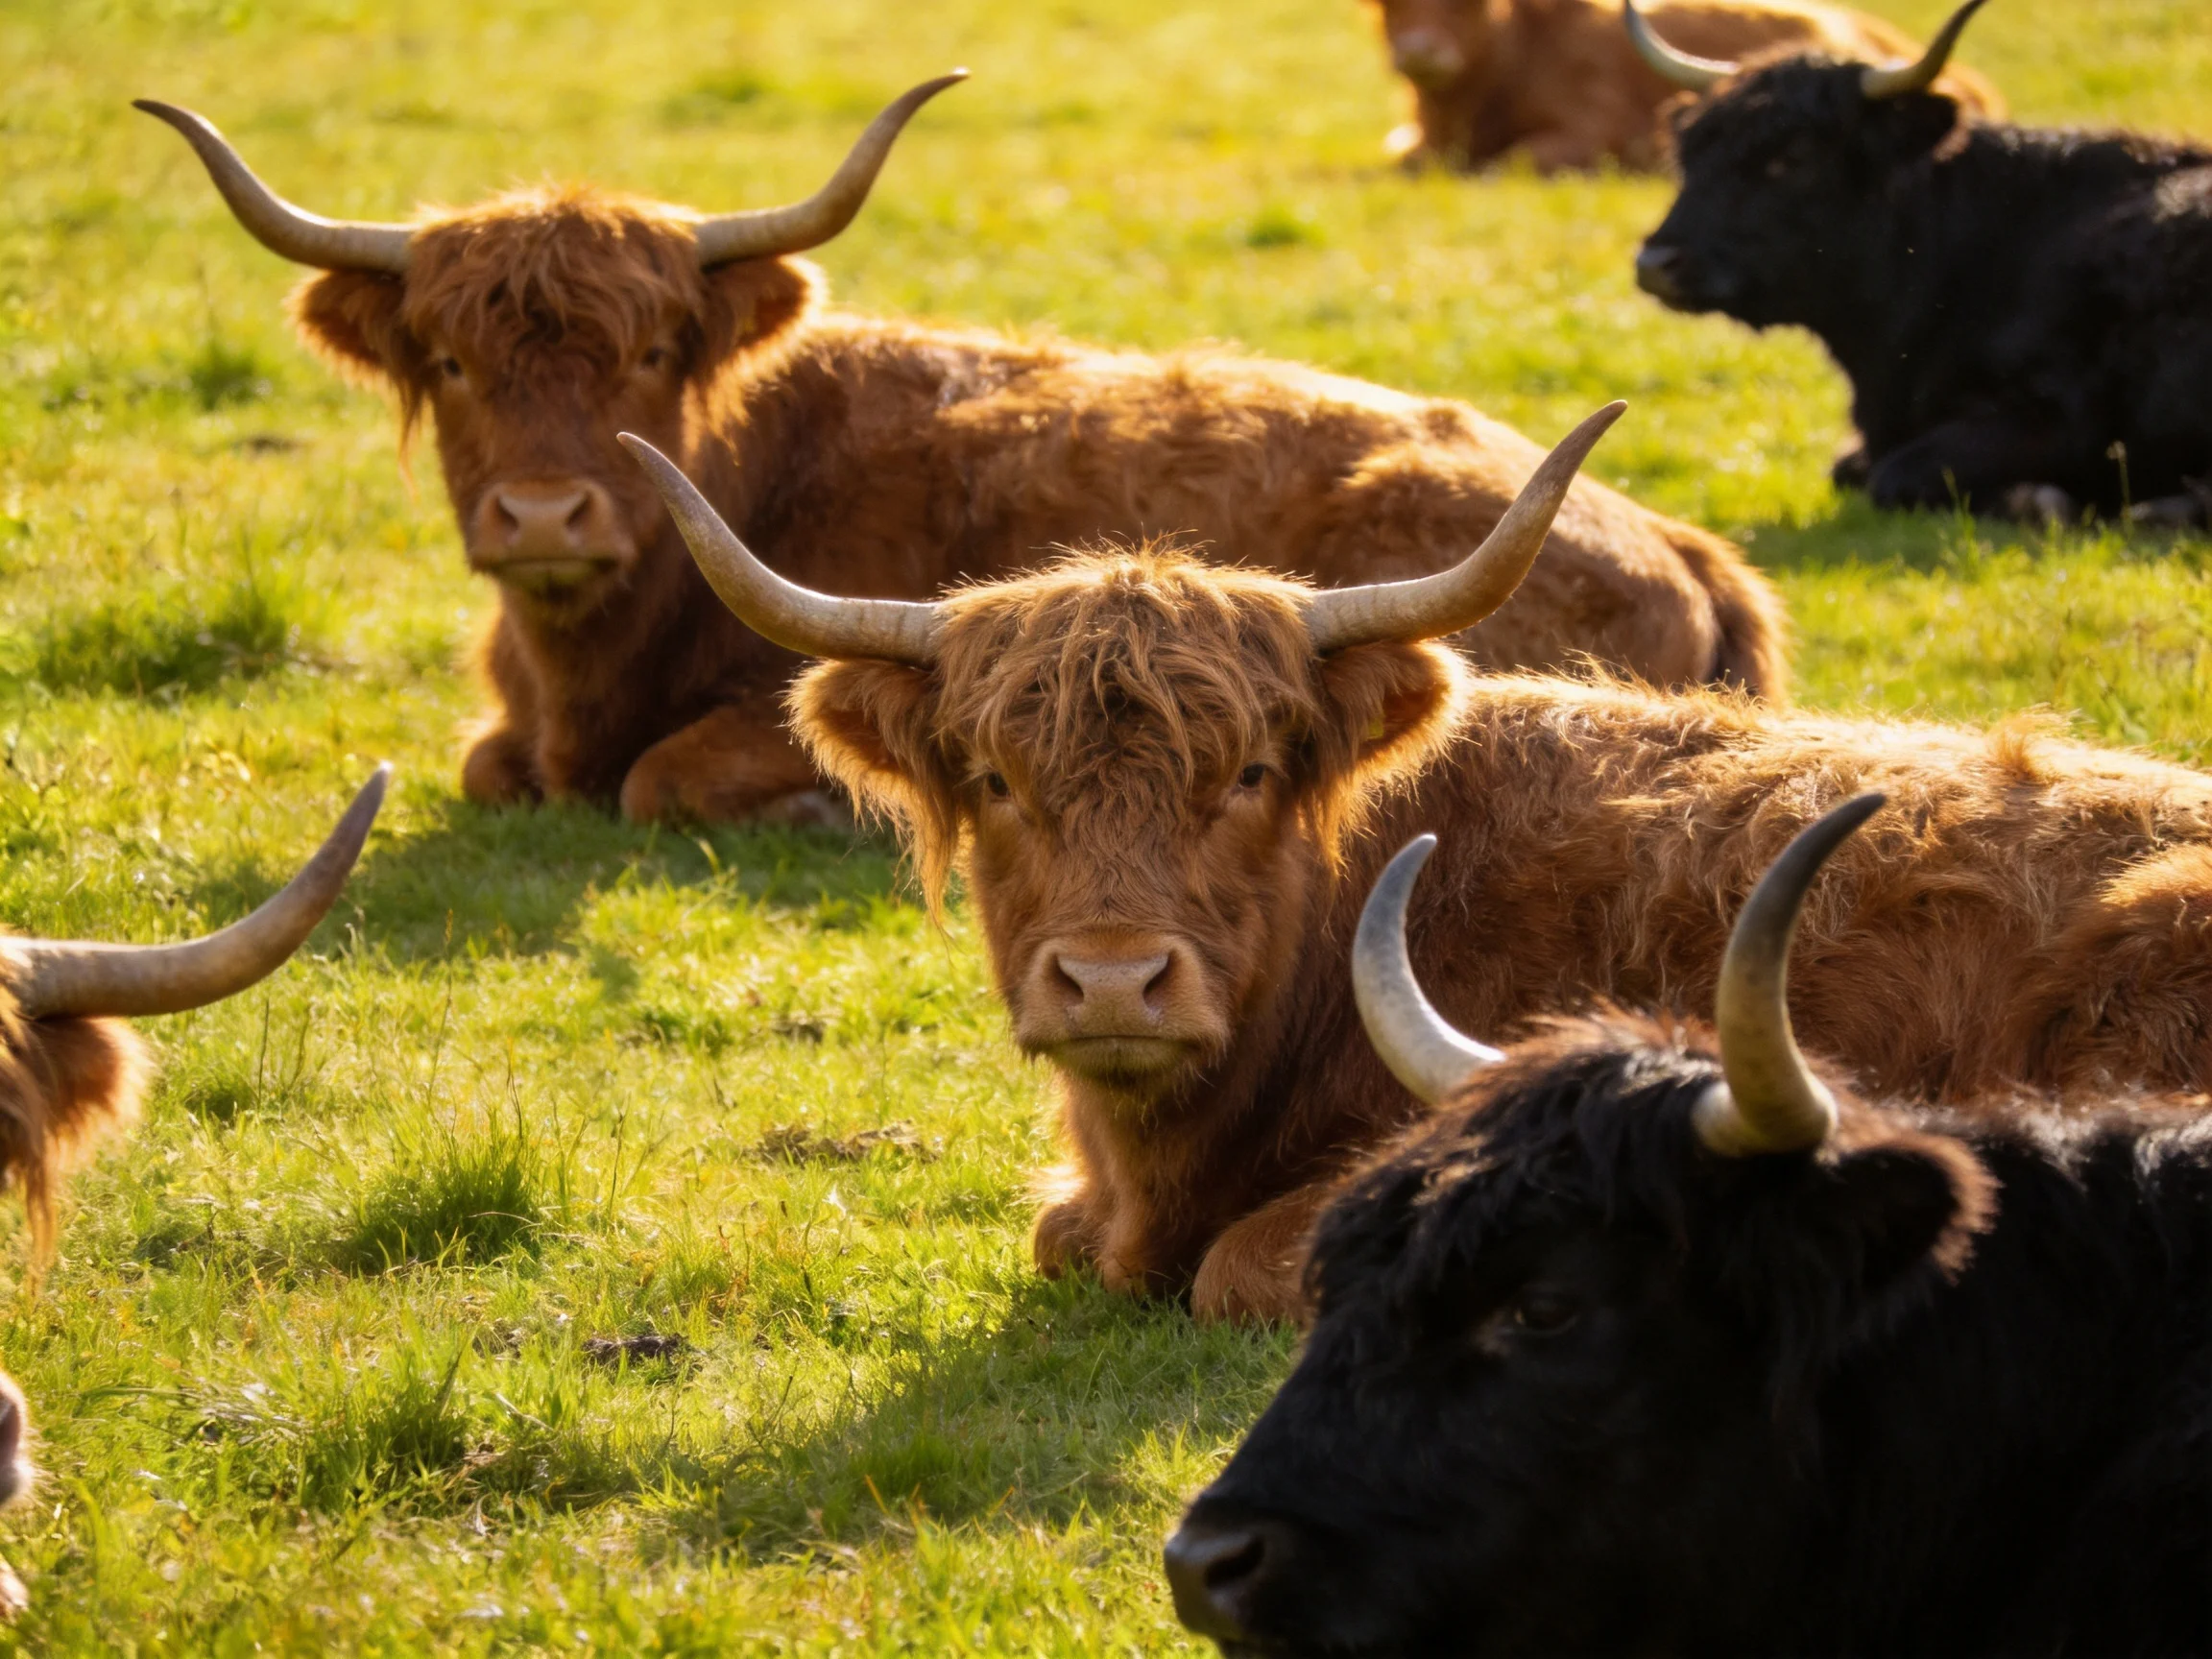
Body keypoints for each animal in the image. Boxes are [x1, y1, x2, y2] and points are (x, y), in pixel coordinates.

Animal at [139, 84, 1787, 828]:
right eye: (450, 359)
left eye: (654, 352)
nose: (545, 515)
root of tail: (1683, 543)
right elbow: (492, 770)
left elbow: (666, 779)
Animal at [1634, 0, 2212, 525]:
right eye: (1690, 152)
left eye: (1794, 157)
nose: (1656, 262)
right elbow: (1846, 468)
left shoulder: (2058, 418)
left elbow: (1897, 474)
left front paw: (2039, 501)